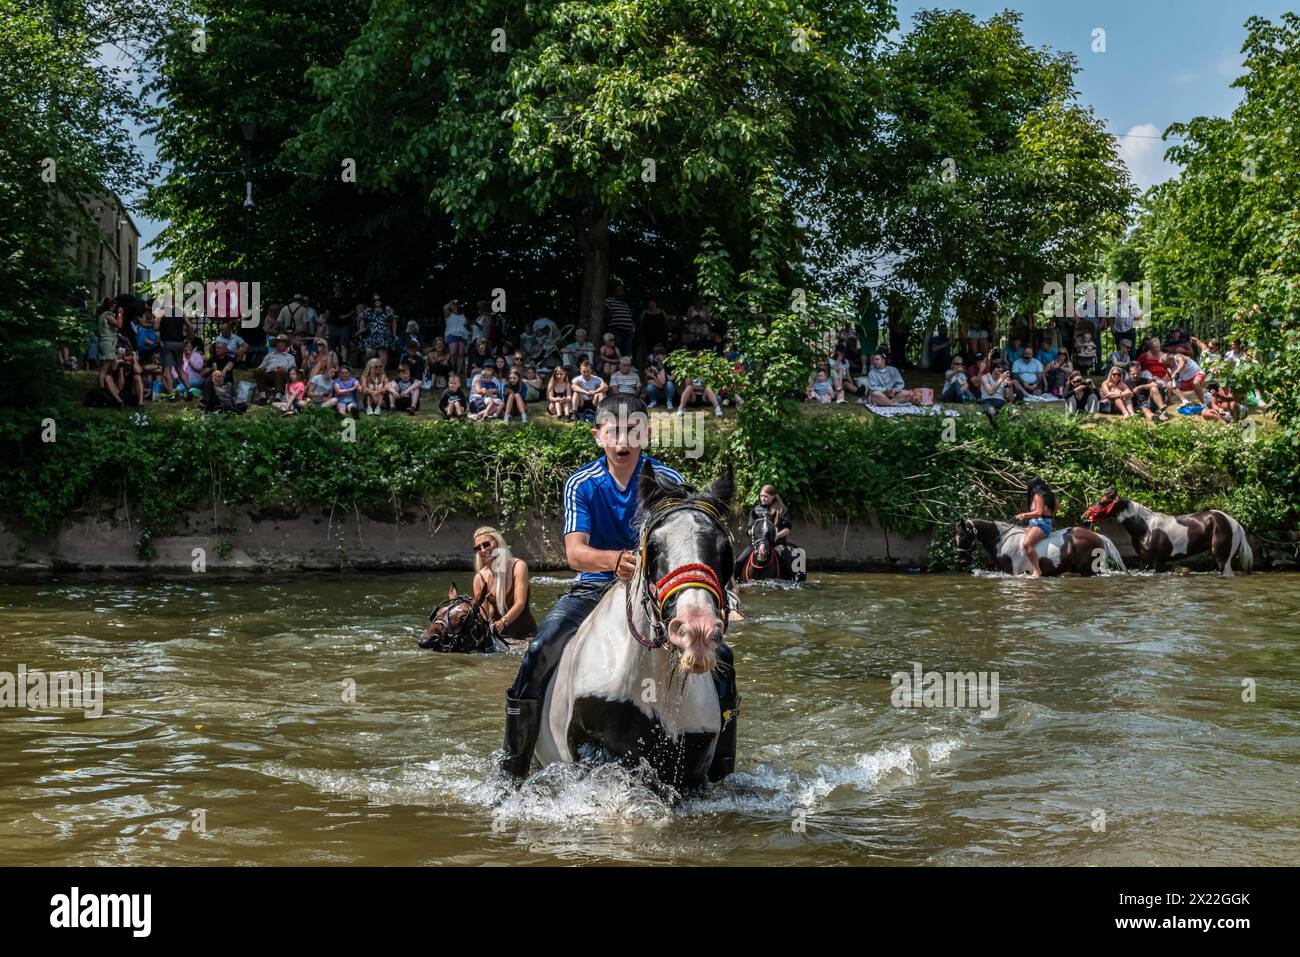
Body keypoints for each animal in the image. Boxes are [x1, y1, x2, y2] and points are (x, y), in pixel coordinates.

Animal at [538, 462, 743, 790]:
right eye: (655, 547)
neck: (656, 683)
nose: (696, 630)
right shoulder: (597, 753)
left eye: (724, 549)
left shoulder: (692, 767)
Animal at [956, 514, 1128, 574]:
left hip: (1088, 570)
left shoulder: (1013, 572)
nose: (961, 561)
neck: (1003, 540)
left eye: (964, 536)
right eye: (955, 537)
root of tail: (1098, 535)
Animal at [1081, 486, 1253, 574]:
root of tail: (1235, 523)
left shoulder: (1158, 563)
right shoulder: (1145, 563)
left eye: (1102, 502)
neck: (1146, 529)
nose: (1084, 517)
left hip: (1222, 559)